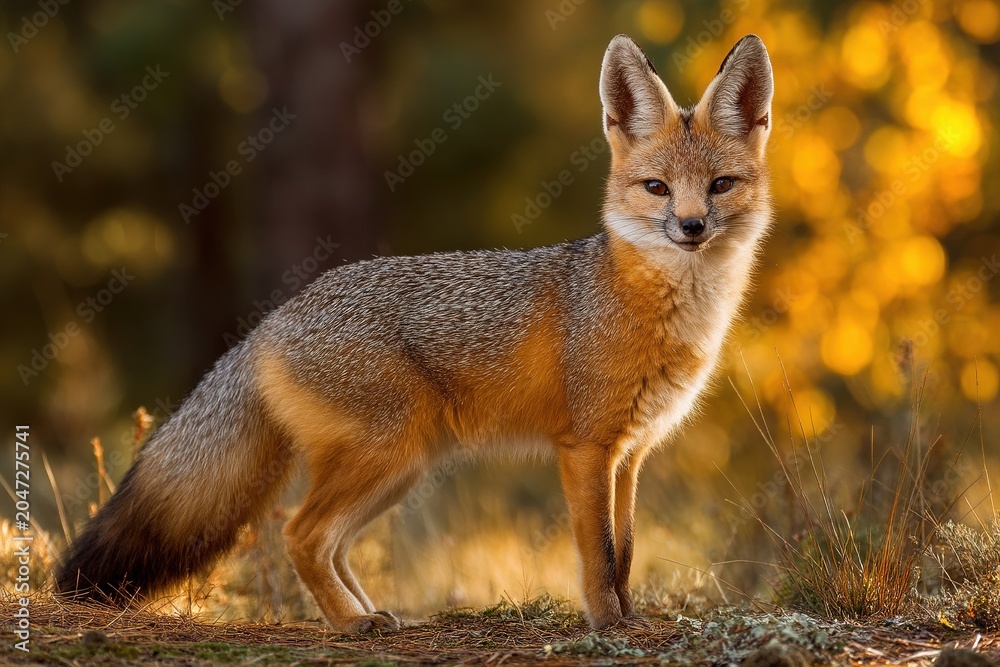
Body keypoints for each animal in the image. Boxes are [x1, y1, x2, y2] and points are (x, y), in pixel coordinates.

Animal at [57, 33, 774, 632]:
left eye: (719, 185)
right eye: (657, 188)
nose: (691, 226)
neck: (661, 311)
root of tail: (270, 321)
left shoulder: (630, 453)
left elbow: (624, 549)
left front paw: (629, 616)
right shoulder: (586, 448)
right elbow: (597, 554)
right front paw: (605, 623)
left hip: (398, 470)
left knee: (330, 543)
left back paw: (368, 612)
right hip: (385, 456)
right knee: (299, 534)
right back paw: (350, 625)